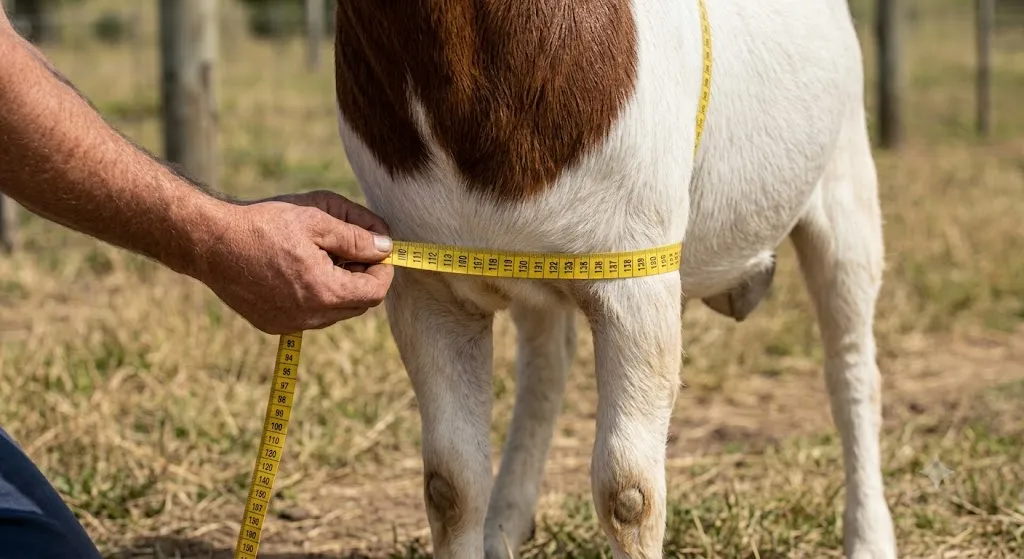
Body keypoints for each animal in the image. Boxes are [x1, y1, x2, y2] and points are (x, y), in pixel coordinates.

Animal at [332, 1, 897, 557]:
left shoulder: (637, 282)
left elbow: (628, 493)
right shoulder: (429, 290)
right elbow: (450, 486)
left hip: (846, 173)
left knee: (851, 366)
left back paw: (870, 538)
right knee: (545, 367)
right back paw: (504, 525)